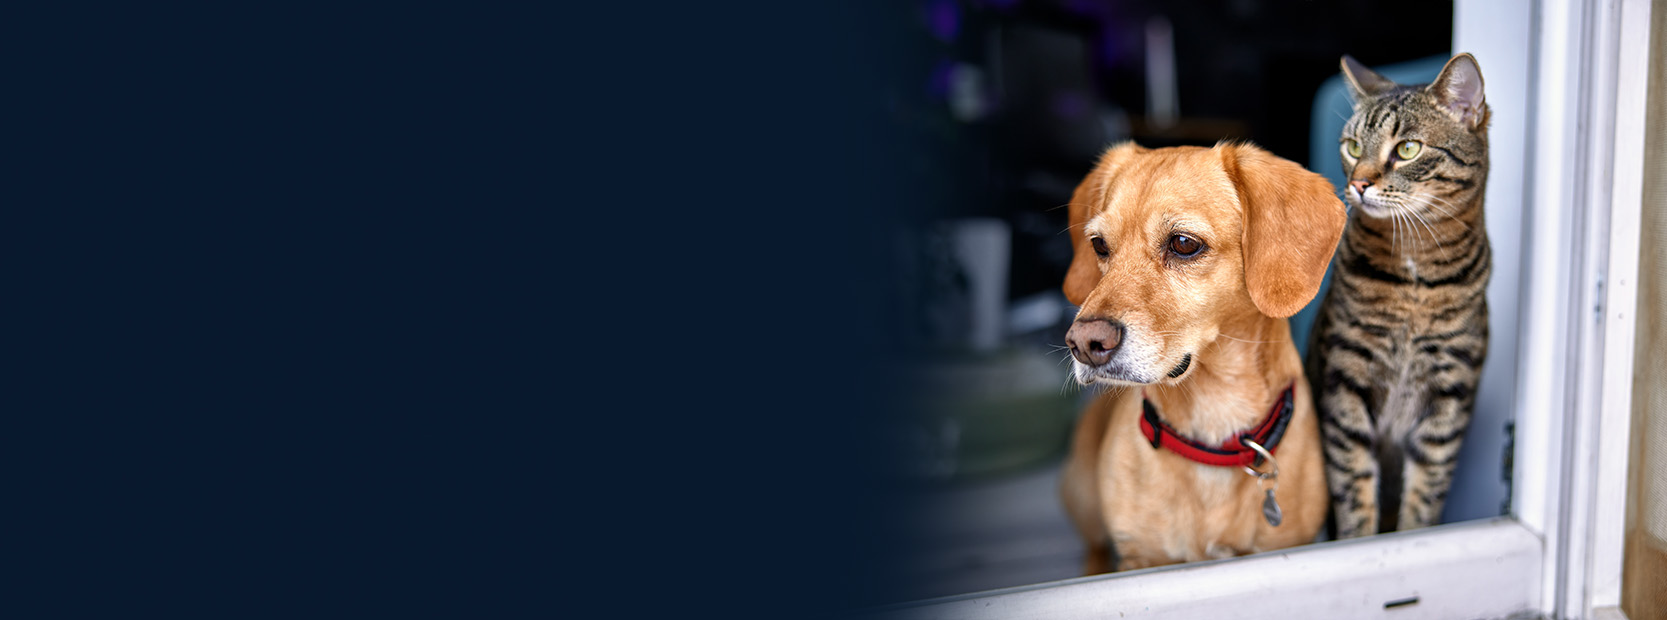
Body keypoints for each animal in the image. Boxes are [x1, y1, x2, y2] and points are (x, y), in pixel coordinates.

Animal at [1060, 140, 1346, 570]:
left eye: (1183, 244)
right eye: (1099, 245)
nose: (1084, 343)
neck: (1213, 414)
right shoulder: (1140, 558)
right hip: (1083, 496)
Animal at [1300, 53, 1500, 536]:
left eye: (1407, 149)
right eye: (1353, 147)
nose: (1359, 184)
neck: (1415, 276)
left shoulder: (1449, 392)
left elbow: (1426, 492)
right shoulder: (1346, 379)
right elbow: (1353, 484)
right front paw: (1357, 542)